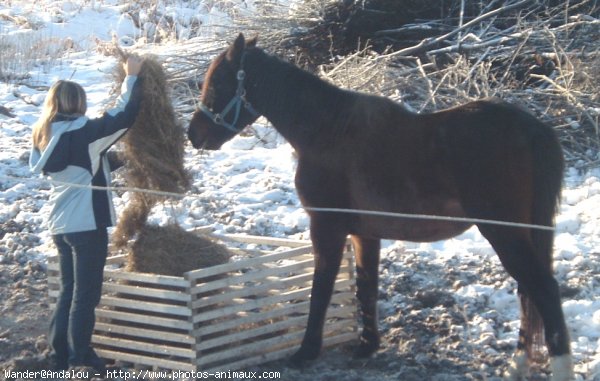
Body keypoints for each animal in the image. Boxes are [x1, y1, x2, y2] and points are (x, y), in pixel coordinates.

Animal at [188, 34, 572, 378]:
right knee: (529, 294)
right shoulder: (364, 234)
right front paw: (366, 347)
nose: (194, 134)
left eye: (219, 82)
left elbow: (321, 290)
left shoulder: (326, 228)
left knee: (543, 291)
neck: (328, 132)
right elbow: (366, 286)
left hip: (505, 234)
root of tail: (532, 129)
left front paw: (306, 352)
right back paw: (518, 365)